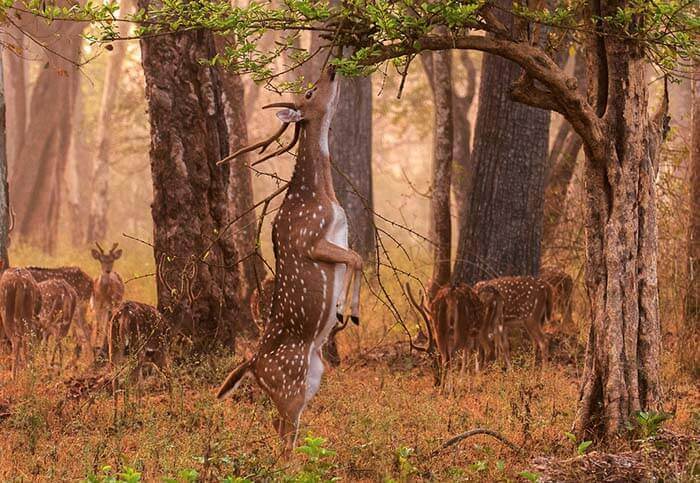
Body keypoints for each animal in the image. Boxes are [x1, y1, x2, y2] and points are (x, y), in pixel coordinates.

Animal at [216, 67, 364, 454]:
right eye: (310, 93)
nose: (332, 69)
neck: (322, 195)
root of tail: (251, 364)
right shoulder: (309, 240)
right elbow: (356, 258)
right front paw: (347, 310)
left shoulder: (339, 238)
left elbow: (356, 258)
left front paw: (343, 310)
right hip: (290, 382)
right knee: (282, 432)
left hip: (312, 377)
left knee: (280, 427)